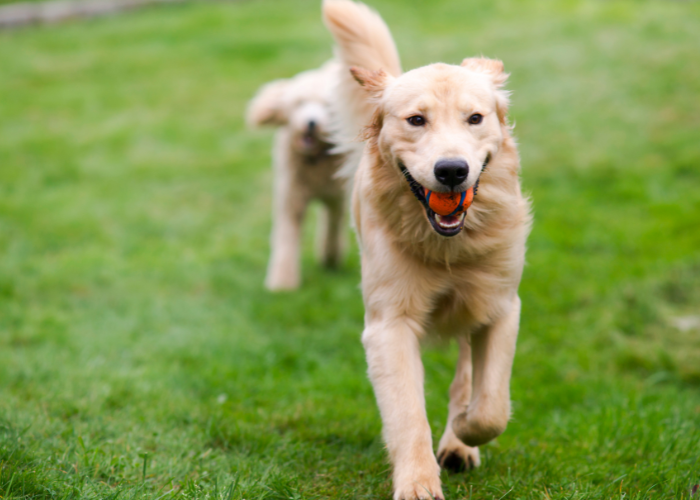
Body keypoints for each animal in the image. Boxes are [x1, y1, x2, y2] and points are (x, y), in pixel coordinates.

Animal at [247, 60, 346, 292]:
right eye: (300, 103)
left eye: (326, 106)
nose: (311, 123)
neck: (315, 159)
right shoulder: (290, 197)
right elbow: (286, 237)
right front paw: (282, 284)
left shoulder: (336, 197)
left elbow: (333, 226)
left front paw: (330, 257)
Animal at [322, 1, 532, 498]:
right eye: (416, 120)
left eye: (475, 118)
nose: (452, 170)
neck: (448, 248)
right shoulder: (389, 325)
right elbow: (407, 415)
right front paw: (418, 482)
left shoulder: (500, 306)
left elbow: (491, 406)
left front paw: (465, 431)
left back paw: (458, 441)